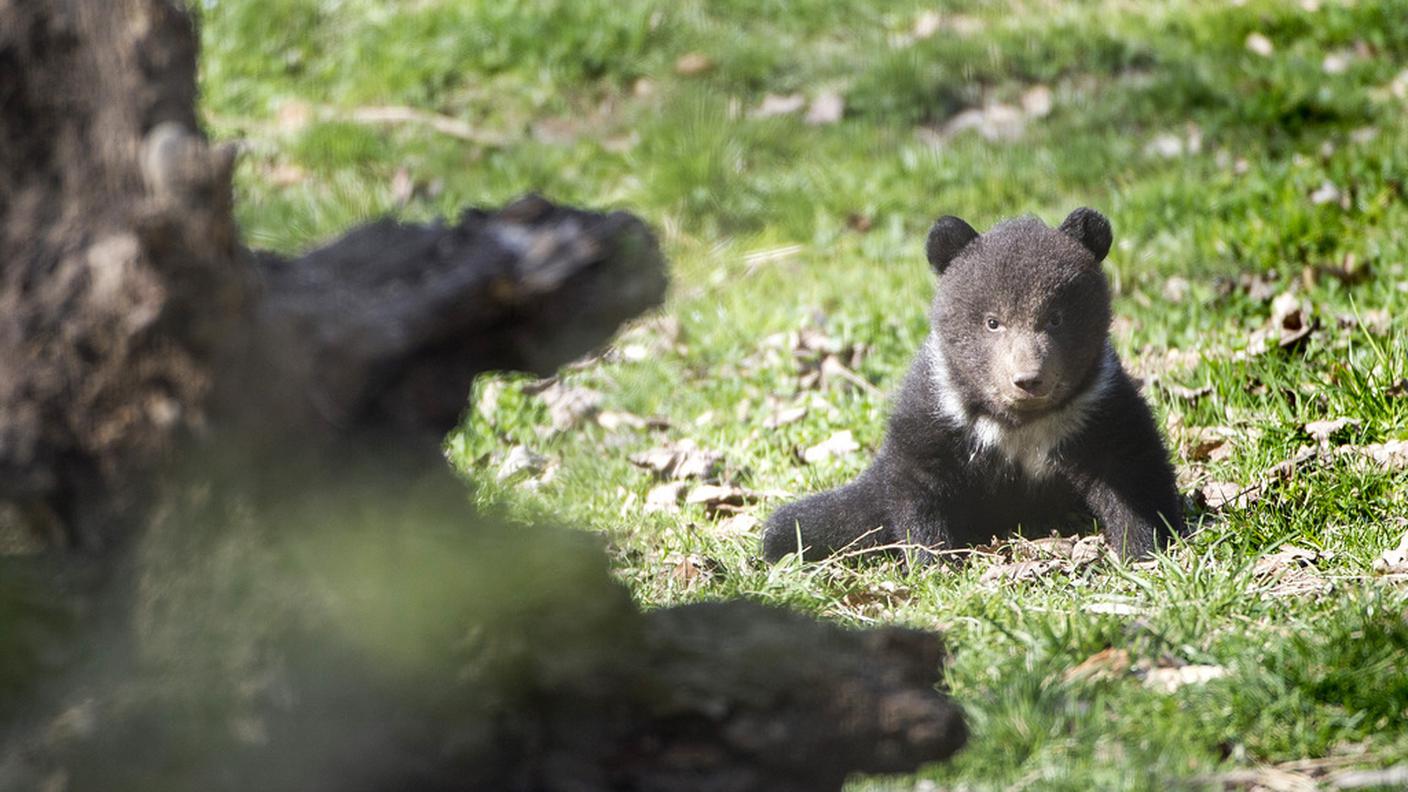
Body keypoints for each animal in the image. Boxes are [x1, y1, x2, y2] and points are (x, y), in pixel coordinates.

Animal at [762, 208, 1185, 564]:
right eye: (992, 322)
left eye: (1056, 318)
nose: (1028, 379)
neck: (1020, 421)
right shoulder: (937, 407)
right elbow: (920, 481)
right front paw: (935, 561)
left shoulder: (1099, 405)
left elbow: (1131, 469)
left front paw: (1144, 547)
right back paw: (781, 536)